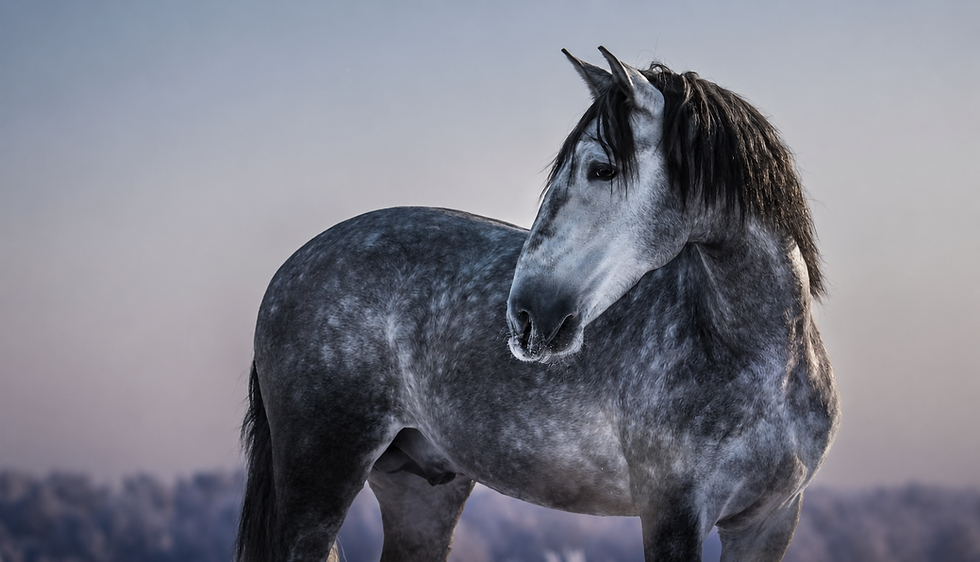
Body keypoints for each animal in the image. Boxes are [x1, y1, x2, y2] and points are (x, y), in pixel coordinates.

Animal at [235, 47, 840, 562]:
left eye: (602, 168)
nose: (526, 317)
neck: (762, 361)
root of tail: (290, 268)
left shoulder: (769, 522)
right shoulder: (672, 515)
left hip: (422, 490)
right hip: (320, 478)